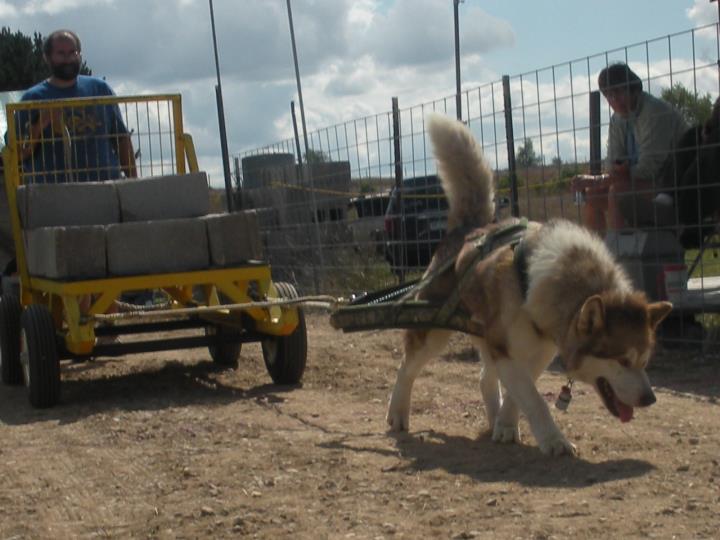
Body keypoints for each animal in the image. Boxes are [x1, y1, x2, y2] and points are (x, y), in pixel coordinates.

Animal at [386, 116, 672, 458]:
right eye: (623, 360)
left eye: (645, 361)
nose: (650, 399)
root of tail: (471, 227)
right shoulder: (506, 348)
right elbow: (534, 400)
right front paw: (554, 440)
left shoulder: (536, 351)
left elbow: (520, 393)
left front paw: (507, 425)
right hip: (433, 330)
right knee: (407, 367)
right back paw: (397, 413)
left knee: (484, 378)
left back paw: (493, 419)